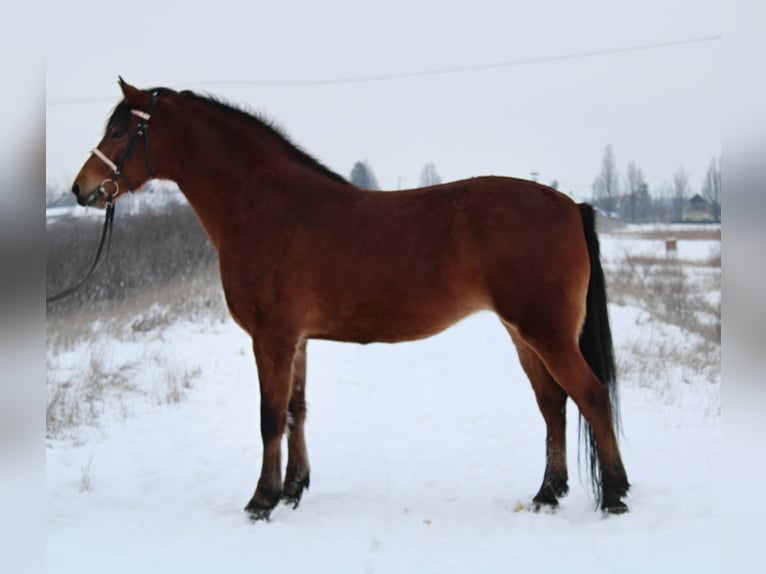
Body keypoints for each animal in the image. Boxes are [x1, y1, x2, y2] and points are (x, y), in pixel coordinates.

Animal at [70, 78, 629, 520]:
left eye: (119, 131)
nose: (81, 189)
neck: (265, 207)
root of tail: (570, 205)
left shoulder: (271, 339)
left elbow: (269, 417)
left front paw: (261, 501)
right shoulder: (295, 341)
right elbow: (295, 411)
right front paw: (293, 490)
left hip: (546, 333)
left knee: (590, 395)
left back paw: (615, 496)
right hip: (525, 335)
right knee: (553, 404)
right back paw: (547, 494)